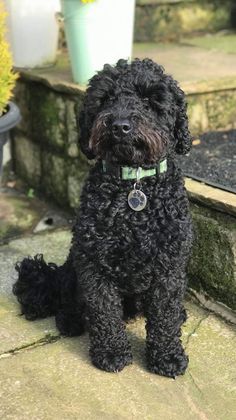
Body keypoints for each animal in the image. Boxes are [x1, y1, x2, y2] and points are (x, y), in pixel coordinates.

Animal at [13, 58, 194, 378]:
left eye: (149, 100)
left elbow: (165, 314)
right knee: (68, 299)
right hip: (73, 267)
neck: (134, 185)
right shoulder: (95, 263)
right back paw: (70, 321)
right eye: (106, 99)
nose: (120, 126)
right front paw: (111, 352)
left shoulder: (169, 266)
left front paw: (167, 356)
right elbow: (104, 312)